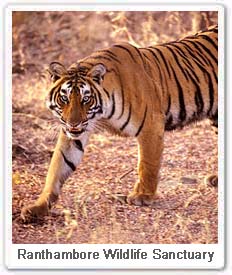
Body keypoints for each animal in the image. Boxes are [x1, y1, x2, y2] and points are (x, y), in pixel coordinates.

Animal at [20, 25, 218, 222]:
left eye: (85, 99)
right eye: (64, 98)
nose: (73, 123)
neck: (102, 113)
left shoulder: (151, 125)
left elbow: (147, 164)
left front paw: (142, 196)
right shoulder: (73, 135)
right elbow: (57, 167)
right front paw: (38, 207)